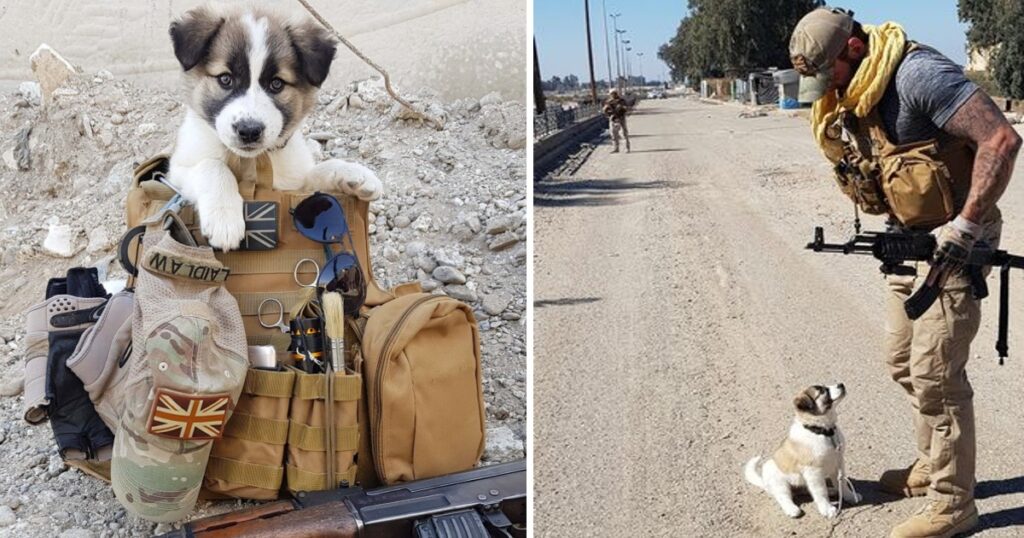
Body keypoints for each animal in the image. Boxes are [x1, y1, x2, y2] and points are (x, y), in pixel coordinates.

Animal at [167, 5, 385, 250]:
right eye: (225, 79)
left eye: (277, 83)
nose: (249, 131)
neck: (251, 161)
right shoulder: (176, 172)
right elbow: (211, 165)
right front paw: (224, 217)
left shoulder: (293, 184)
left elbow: (320, 170)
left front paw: (354, 174)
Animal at [741, 383, 860, 518]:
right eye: (822, 391)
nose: (841, 384)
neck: (824, 432)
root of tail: (765, 483)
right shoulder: (813, 472)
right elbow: (820, 492)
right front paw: (827, 508)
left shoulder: (838, 463)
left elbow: (842, 484)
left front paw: (850, 496)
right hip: (778, 481)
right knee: (783, 496)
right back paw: (791, 509)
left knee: (807, 490)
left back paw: (831, 490)